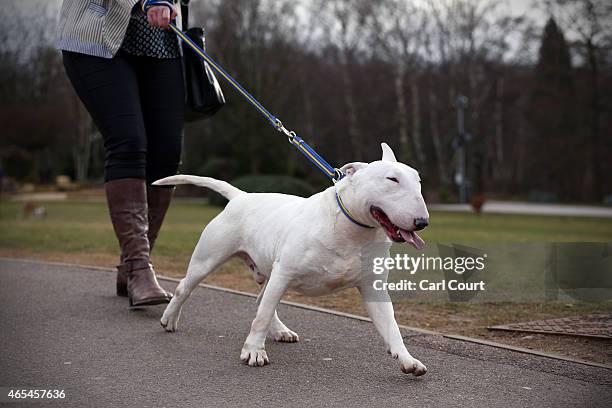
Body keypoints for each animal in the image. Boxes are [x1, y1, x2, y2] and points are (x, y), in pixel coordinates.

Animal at [153, 143, 430, 376]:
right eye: (392, 179)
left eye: (418, 181)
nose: (422, 222)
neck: (352, 229)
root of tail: (241, 196)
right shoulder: (284, 272)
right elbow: (262, 316)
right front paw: (253, 352)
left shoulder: (373, 287)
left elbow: (392, 326)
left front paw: (408, 360)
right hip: (209, 259)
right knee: (185, 288)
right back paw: (170, 318)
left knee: (262, 300)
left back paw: (281, 331)